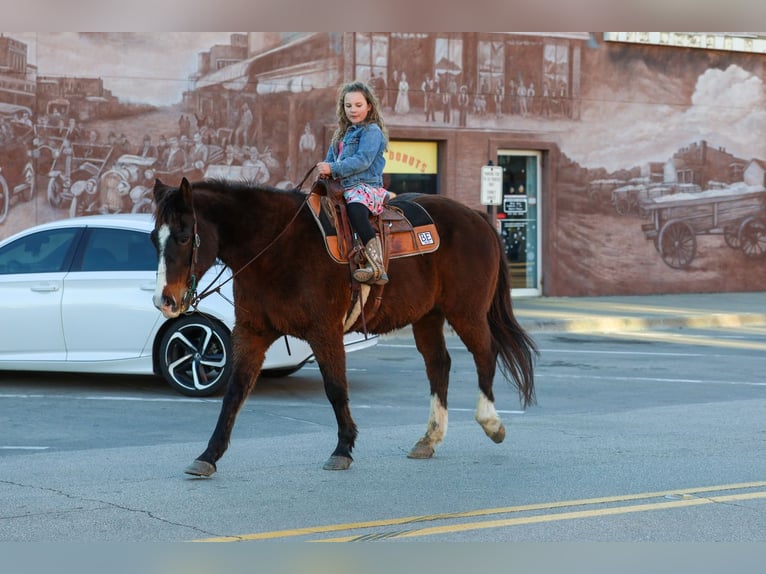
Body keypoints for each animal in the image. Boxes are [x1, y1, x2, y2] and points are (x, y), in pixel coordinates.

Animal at [151, 177, 538, 476]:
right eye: (155, 237)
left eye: (183, 237)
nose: (164, 300)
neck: (276, 249)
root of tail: (478, 217)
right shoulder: (252, 331)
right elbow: (234, 392)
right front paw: (208, 455)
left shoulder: (325, 331)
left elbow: (336, 388)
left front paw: (342, 449)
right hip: (428, 316)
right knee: (439, 364)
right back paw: (429, 439)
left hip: (466, 311)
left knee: (485, 353)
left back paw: (491, 422)